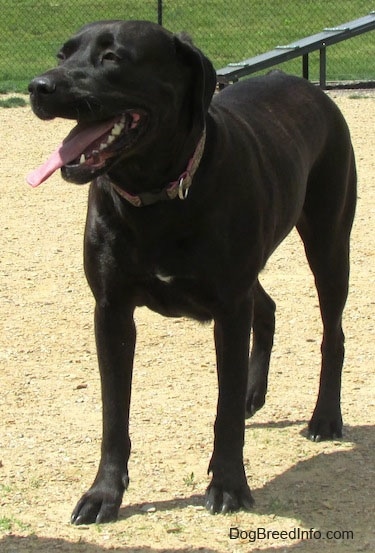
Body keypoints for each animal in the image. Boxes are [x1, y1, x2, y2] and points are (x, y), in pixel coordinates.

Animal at [27, 20, 356, 520]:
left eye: (112, 57)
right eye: (62, 55)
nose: (38, 86)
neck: (155, 196)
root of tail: (308, 88)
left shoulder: (229, 309)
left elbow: (223, 413)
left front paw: (228, 486)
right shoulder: (111, 310)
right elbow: (113, 413)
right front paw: (104, 493)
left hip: (329, 241)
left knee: (332, 334)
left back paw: (324, 417)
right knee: (267, 308)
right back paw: (253, 395)